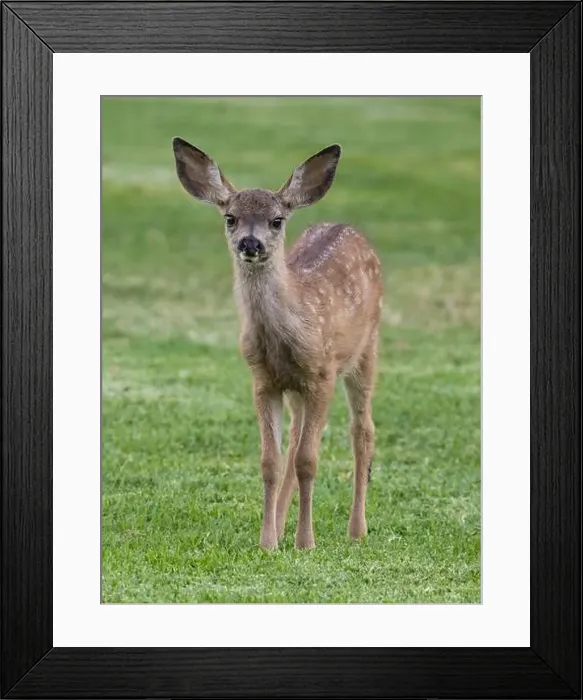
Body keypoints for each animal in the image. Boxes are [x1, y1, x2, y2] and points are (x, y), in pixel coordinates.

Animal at [173, 138, 382, 550]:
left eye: (276, 220)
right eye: (230, 218)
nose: (250, 243)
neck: (286, 336)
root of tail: (350, 228)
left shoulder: (322, 374)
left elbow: (308, 461)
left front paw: (306, 543)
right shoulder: (263, 379)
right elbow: (272, 461)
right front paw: (268, 542)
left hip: (367, 349)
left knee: (362, 430)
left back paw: (357, 530)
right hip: (298, 388)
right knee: (299, 438)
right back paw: (284, 524)